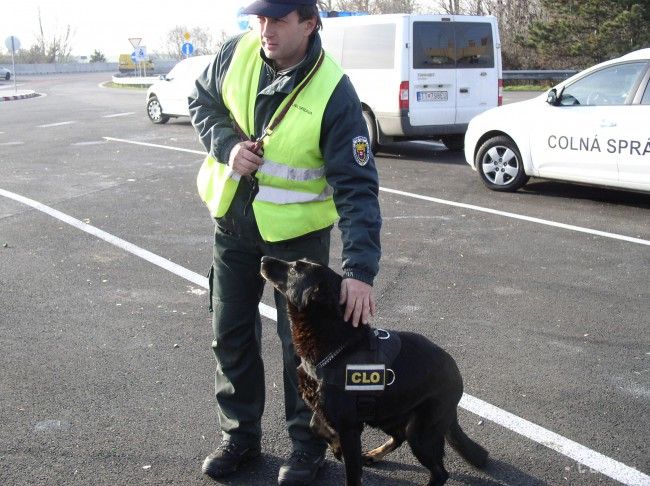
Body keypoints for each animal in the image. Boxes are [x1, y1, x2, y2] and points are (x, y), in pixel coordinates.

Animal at [260, 256, 486, 484]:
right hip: (388, 413)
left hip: (420, 433)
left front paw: (341, 451)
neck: (336, 344)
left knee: (439, 471)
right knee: (399, 436)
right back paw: (375, 454)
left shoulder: (350, 428)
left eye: (295, 269)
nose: (263, 258)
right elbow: (315, 425)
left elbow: (352, 473)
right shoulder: (327, 412)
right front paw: (336, 447)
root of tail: (456, 374)